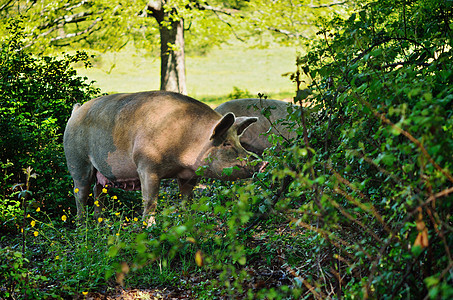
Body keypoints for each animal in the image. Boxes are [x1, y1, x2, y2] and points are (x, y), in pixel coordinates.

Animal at [64, 90, 262, 221]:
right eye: (226, 143)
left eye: (238, 141)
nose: (262, 163)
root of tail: (75, 111)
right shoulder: (146, 166)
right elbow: (150, 201)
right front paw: (149, 227)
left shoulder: (189, 175)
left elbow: (187, 199)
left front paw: (189, 220)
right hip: (77, 161)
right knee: (80, 193)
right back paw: (82, 225)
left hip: (100, 172)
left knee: (98, 191)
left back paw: (101, 223)